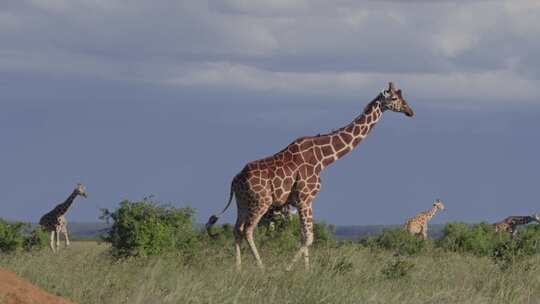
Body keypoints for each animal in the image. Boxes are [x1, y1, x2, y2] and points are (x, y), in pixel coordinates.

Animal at [206, 82, 414, 270]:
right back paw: (261, 267)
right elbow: (309, 238)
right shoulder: (305, 199)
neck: (323, 159)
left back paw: (238, 268)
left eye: (402, 96)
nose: (410, 111)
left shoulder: (303, 202)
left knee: (237, 230)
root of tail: (235, 180)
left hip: (243, 203)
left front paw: (306, 271)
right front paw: (288, 269)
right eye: (394, 98)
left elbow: (303, 237)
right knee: (248, 230)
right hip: (261, 202)